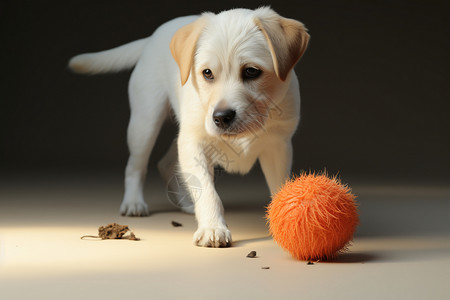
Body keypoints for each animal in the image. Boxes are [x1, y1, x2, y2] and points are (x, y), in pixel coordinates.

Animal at [69, 7, 310, 247]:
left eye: (251, 71)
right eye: (207, 73)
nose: (221, 118)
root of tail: (153, 37)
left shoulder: (278, 146)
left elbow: (279, 186)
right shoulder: (195, 141)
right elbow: (208, 191)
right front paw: (213, 228)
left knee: (166, 163)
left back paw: (186, 203)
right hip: (145, 121)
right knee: (136, 165)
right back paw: (134, 203)